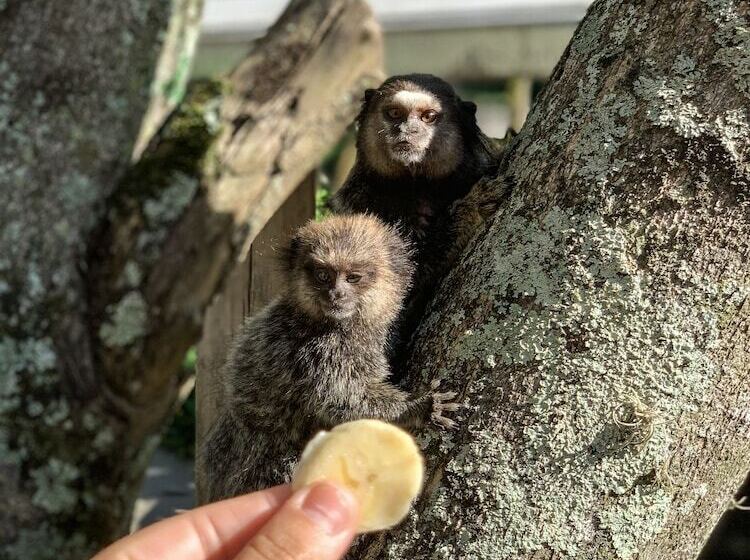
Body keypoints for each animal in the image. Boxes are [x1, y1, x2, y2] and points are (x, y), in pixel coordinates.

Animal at [198, 214, 458, 504]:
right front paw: (418, 406)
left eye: (353, 277)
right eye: (324, 276)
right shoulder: (318, 353)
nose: (336, 294)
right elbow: (342, 402)